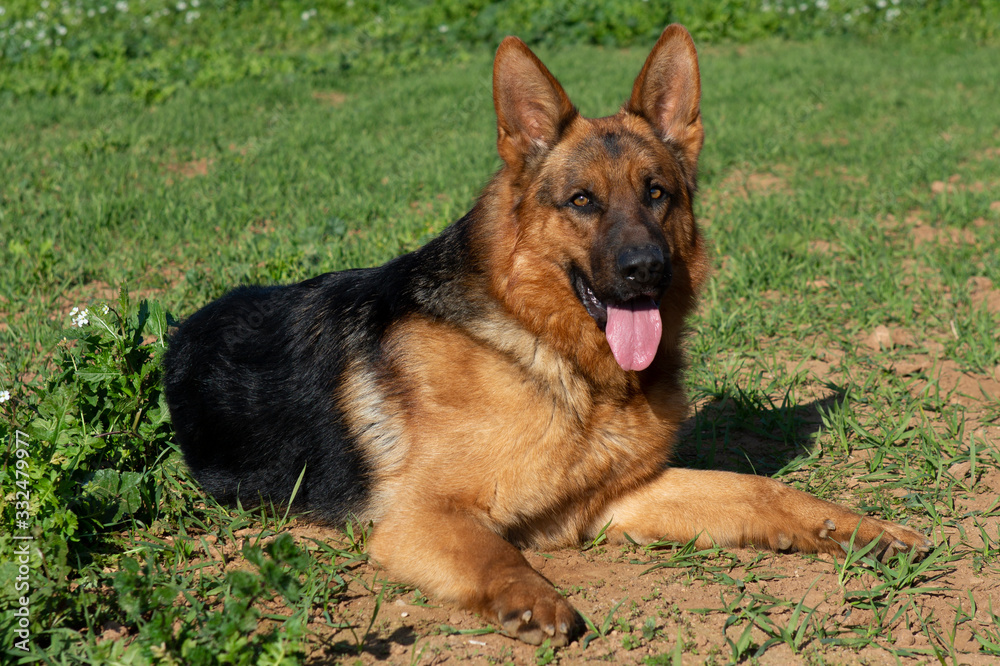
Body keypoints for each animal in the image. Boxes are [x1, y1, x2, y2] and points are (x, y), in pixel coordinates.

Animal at [164, 26, 928, 644]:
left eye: (657, 193)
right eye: (582, 202)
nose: (645, 270)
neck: (554, 355)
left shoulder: (620, 499)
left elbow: (757, 491)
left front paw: (854, 527)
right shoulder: (421, 518)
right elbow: (498, 552)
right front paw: (531, 597)